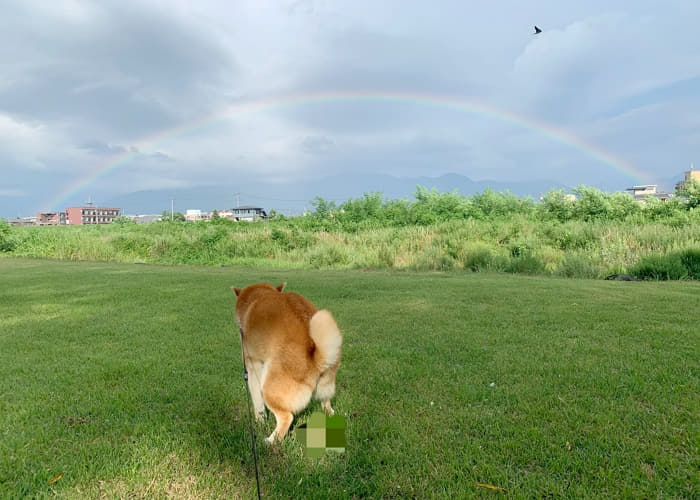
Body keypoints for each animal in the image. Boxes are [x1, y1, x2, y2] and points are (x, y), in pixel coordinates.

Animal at [232, 284, 342, 444]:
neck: (259, 294)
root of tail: (316, 357)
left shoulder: (252, 366)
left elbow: (257, 402)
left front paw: (259, 421)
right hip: (326, 386)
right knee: (327, 406)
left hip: (269, 388)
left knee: (286, 418)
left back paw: (270, 441)